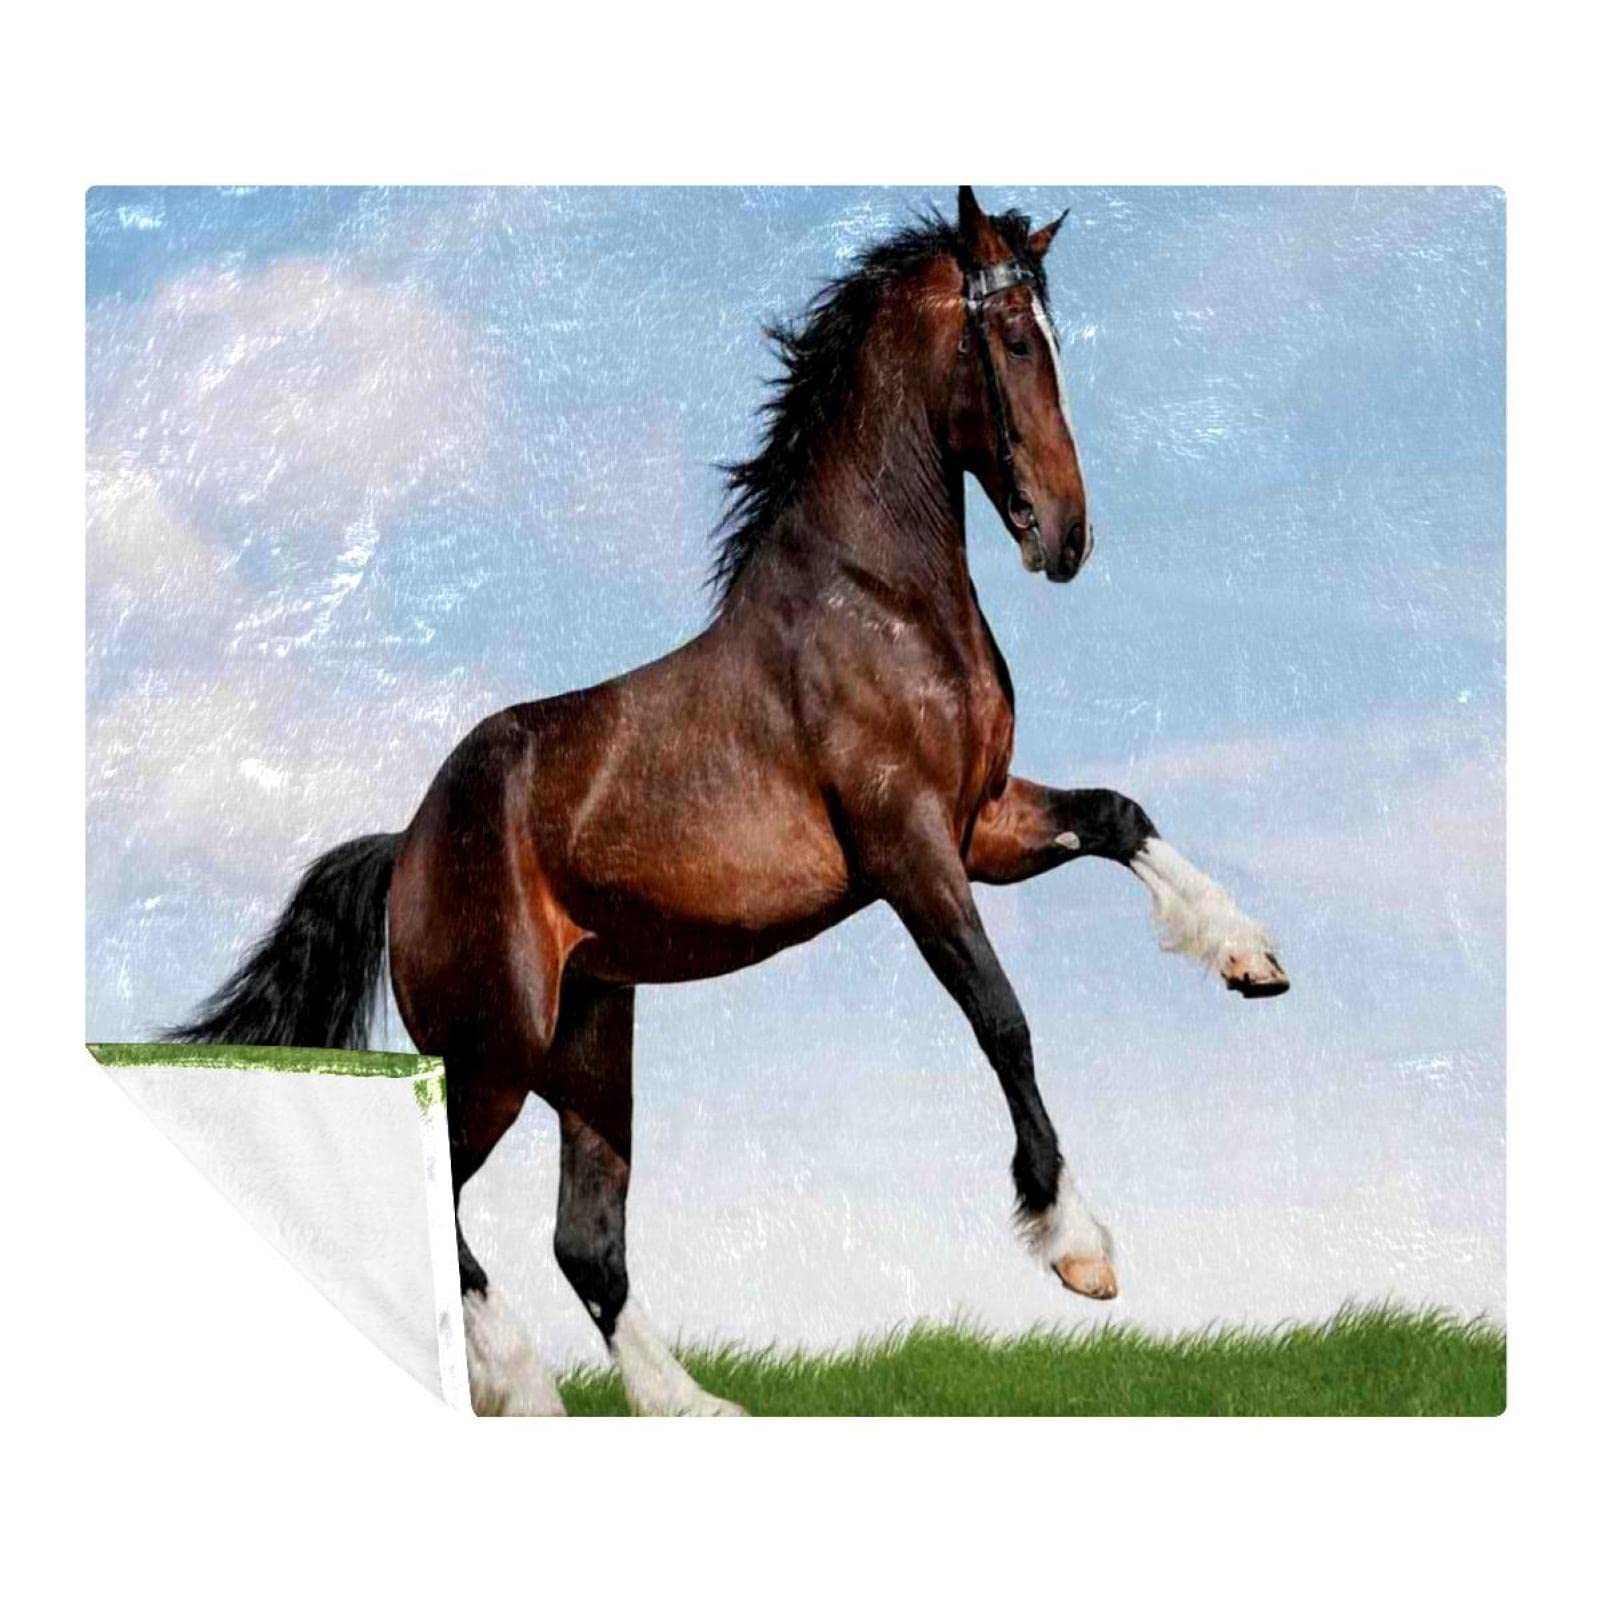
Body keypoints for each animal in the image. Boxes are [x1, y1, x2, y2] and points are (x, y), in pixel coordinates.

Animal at [171, 187, 1290, 1416]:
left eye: (1051, 339)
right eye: (1006, 341)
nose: (1066, 535)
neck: (880, 597)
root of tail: (407, 845)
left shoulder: (981, 821)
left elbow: (1120, 815)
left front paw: (1249, 957)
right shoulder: (909, 850)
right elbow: (1001, 1017)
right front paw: (1077, 1245)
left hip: (590, 1040)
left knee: (587, 1241)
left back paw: (688, 1401)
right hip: (494, 1054)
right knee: (448, 1202)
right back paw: (526, 1383)